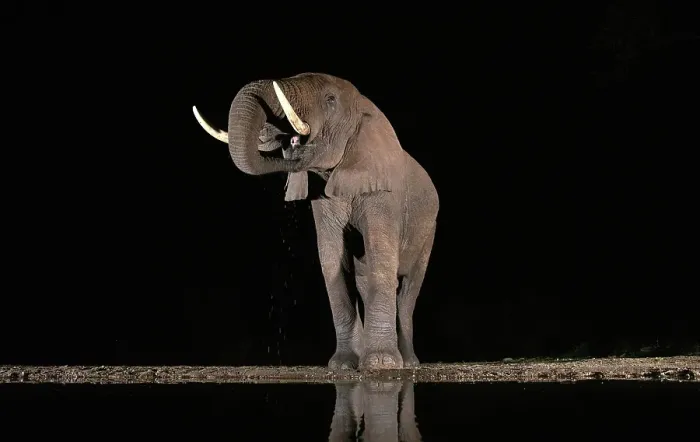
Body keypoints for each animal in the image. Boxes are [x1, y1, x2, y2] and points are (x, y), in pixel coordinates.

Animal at [192, 73, 439, 370]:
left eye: (330, 100)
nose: (287, 142)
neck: (366, 108)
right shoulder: (324, 199)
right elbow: (332, 258)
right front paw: (343, 366)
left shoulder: (384, 193)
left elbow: (381, 257)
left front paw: (381, 365)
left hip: (428, 231)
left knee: (409, 290)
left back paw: (409, 363)